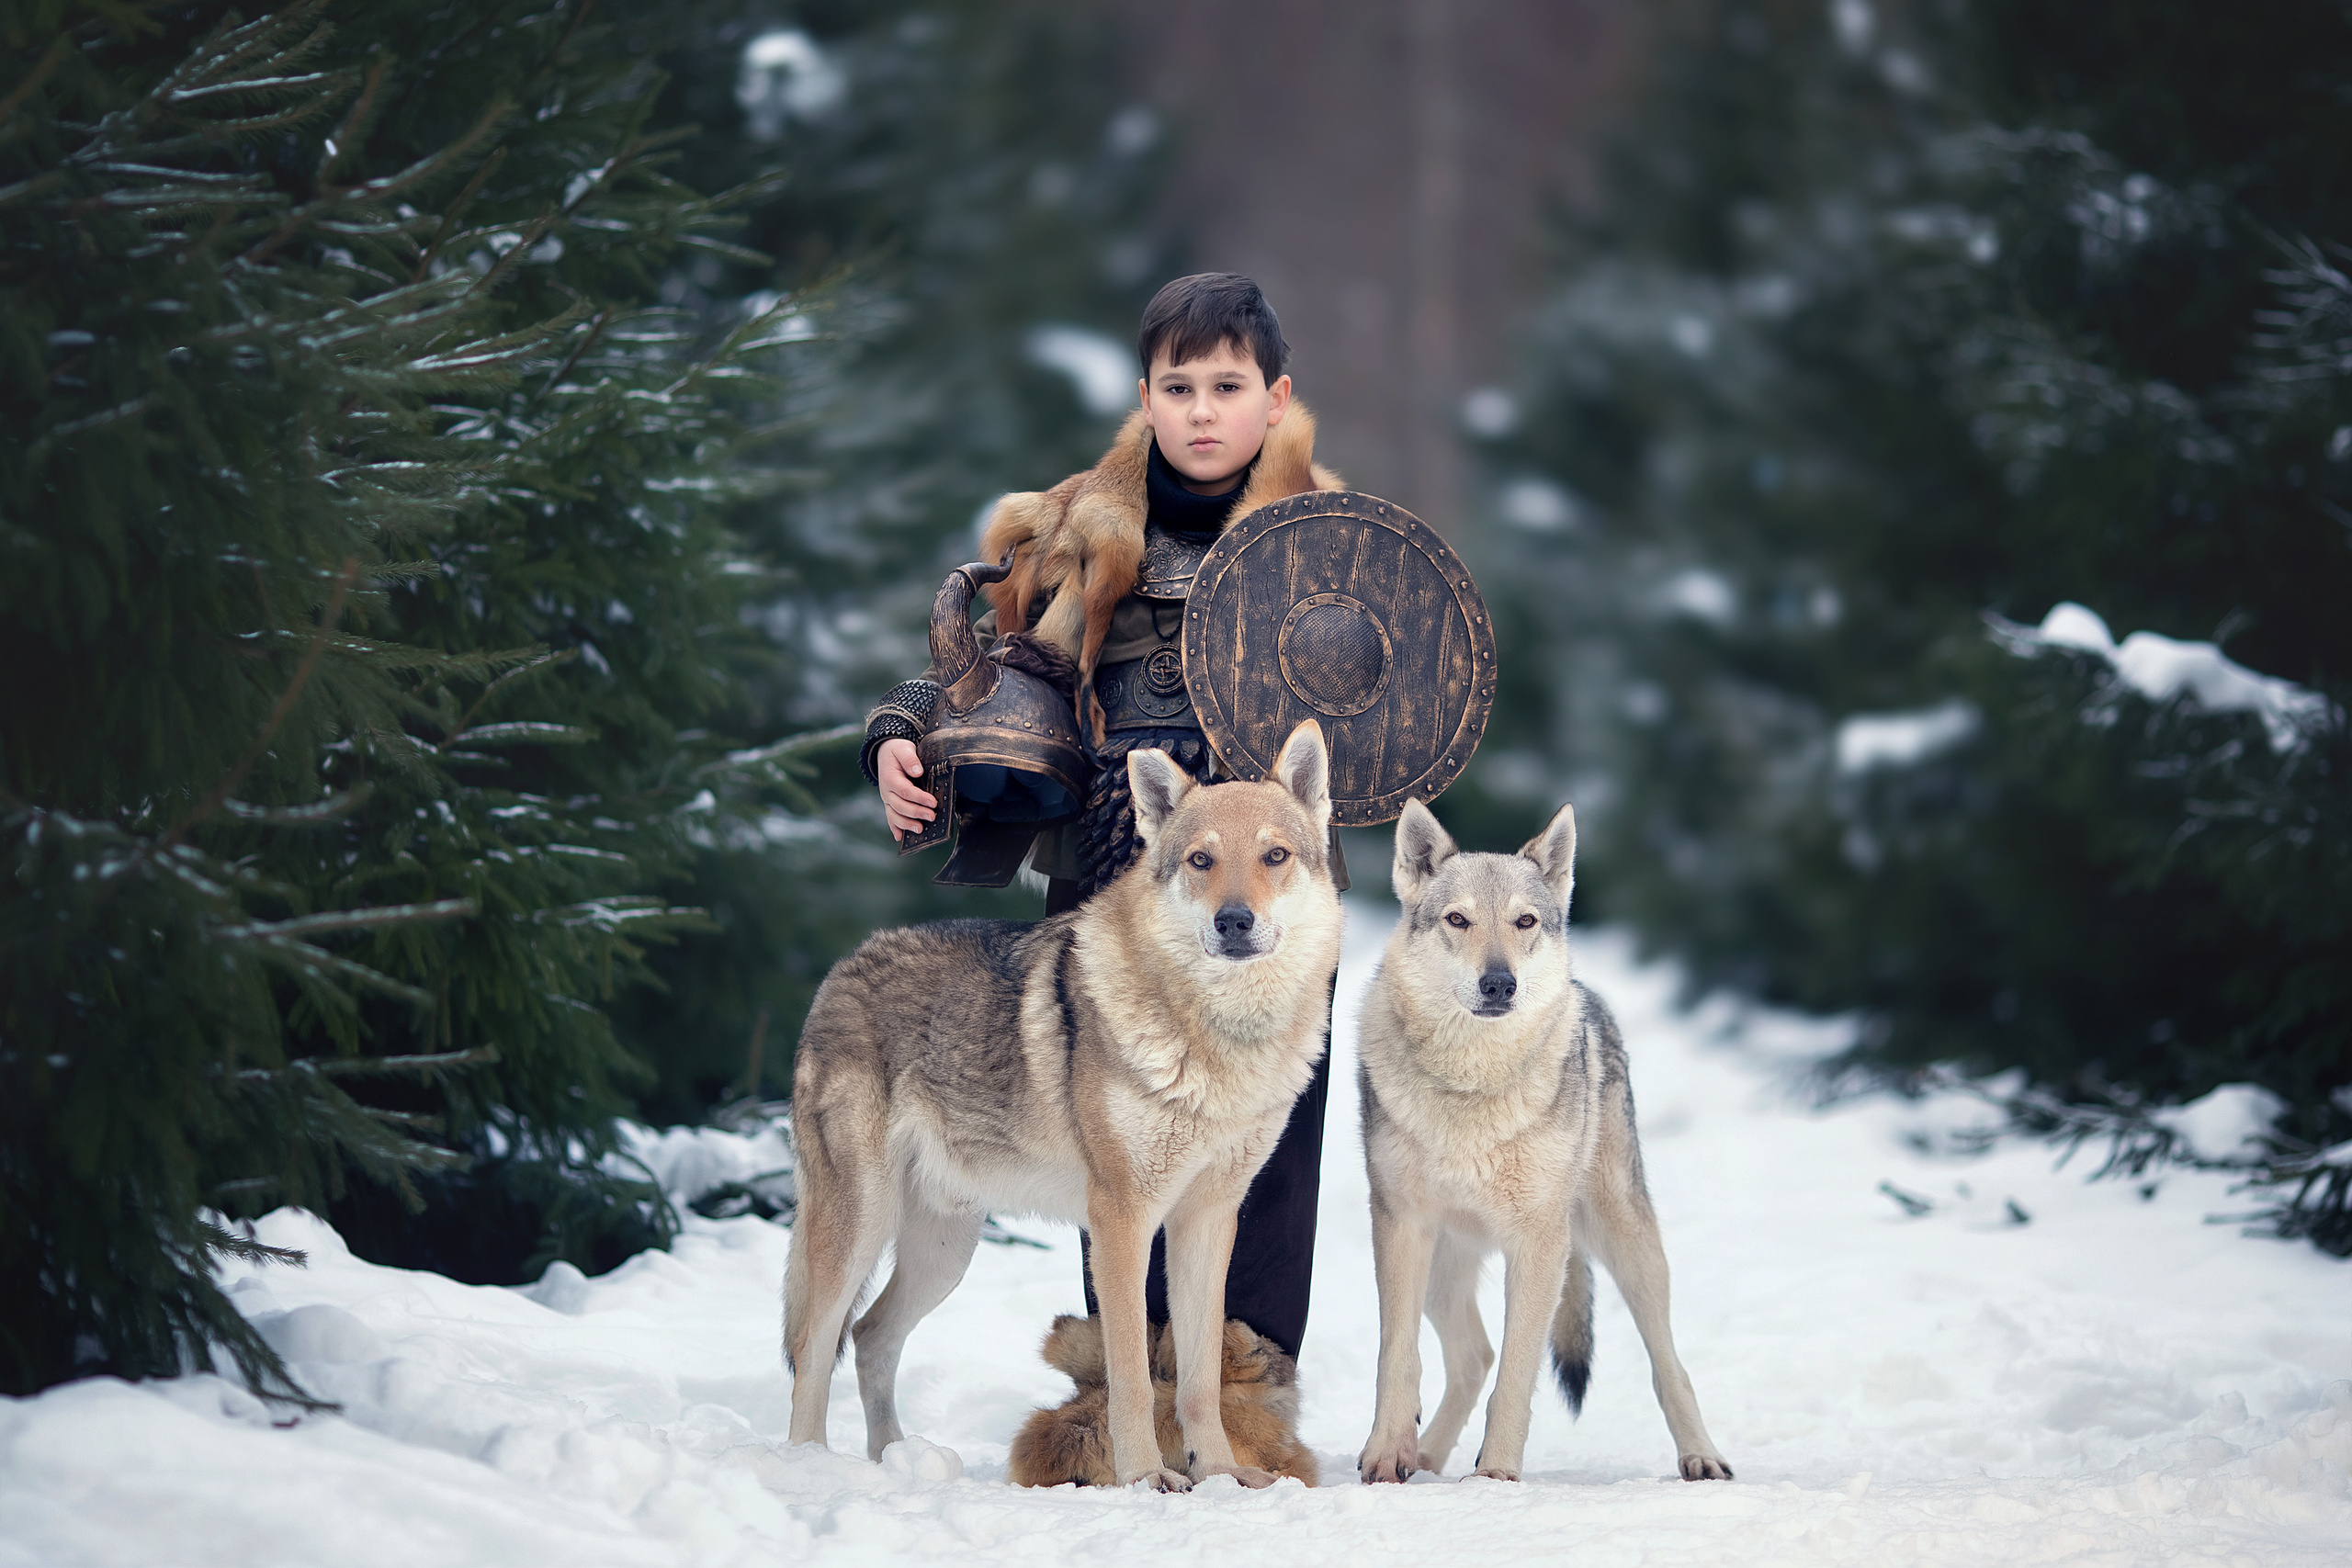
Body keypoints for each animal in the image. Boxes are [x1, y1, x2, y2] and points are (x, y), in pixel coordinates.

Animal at [783, 720, 1343, 1492]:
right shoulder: (1121, 1220)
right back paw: (812, 1468)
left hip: (944, 1250)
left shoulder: (1207, 1220)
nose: (1235, 920)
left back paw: (898, 1462)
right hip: (861, 1227)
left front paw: (1223, 1474)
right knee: (815, 1344)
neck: (1219, 1041)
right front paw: (1145, 1478)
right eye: (1201, 859)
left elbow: (1199, 1377)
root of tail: (839, 968)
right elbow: (1132, 1372)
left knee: (868, 1336)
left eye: (1275, 856)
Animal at [1354, 799, 1732, 1485]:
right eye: (1458, 919)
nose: (1499, 982)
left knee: (1668, 1362)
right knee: (1473, 1355)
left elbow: (1518, 1372)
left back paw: (1702, 1456)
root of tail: (1590, 995)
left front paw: (1497, 1475)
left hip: (1624, 1242)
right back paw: (1424, 1460)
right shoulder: (1399, 1226)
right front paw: (1385, 1455)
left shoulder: (1537, 1242)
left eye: (1524, 921)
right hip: (1445, 1266)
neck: (1472, 1089)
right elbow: (1398, 1355)